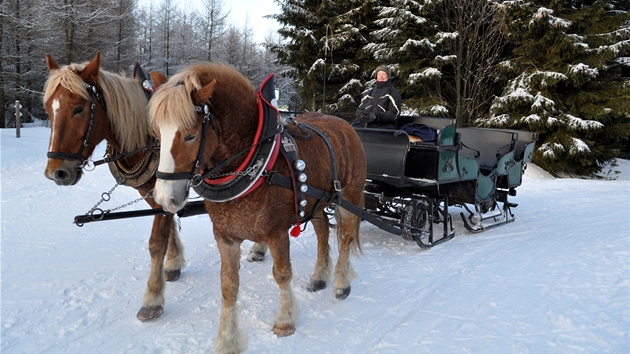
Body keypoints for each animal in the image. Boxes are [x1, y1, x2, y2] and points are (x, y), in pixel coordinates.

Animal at [42, 51, 184, 320]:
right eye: (48, 110)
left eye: (79, 108)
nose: (57, 172)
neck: (148, 138)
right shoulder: (151, 193)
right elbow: (169, 227)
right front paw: (175, 261)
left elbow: (156, 241)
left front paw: (152, 299)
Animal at [149, 62, 366, 352]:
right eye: (157, 133)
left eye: (190, 135)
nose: (164, 199)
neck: (253, 162)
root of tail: (344, 123)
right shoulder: (225, 236)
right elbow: (228, 285)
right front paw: (227, 338)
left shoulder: (277, 233)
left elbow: (282, 274)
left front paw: (285, 321)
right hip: (316, 201)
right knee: (322, 234)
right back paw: (320, 276)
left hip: (350, 196)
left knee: (346, 237)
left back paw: (341, 284)